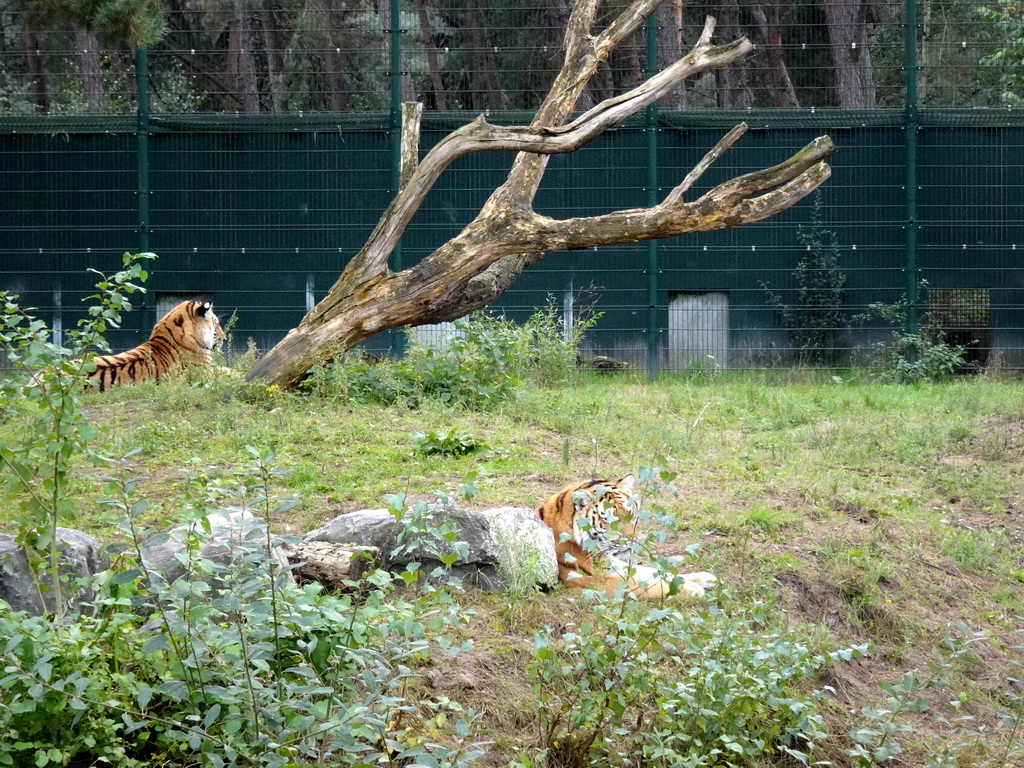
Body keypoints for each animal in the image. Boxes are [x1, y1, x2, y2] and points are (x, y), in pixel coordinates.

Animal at [540, 475, 716, 602]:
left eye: (630, 513)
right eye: (607, 519)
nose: (630, 541)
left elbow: (654, 572)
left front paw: (704, 578)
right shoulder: (598, 581)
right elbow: (646, 585)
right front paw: (692, 589)